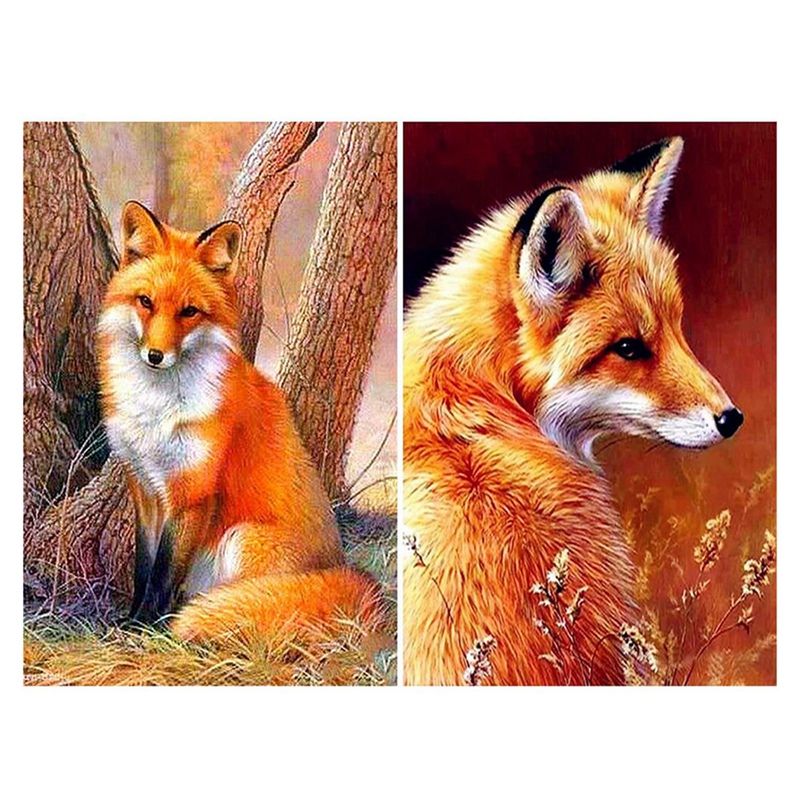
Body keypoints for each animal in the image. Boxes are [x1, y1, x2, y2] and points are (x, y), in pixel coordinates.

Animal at [97, 201, 382, 643]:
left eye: (189, 312)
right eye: (145, 302)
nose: (155, 356)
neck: (156, 409)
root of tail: (342, 568)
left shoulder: (192, 491)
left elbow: (163, 573)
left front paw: (145, 628)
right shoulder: (143, 486)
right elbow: (144, 568)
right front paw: (131, 619)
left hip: (240, 539)